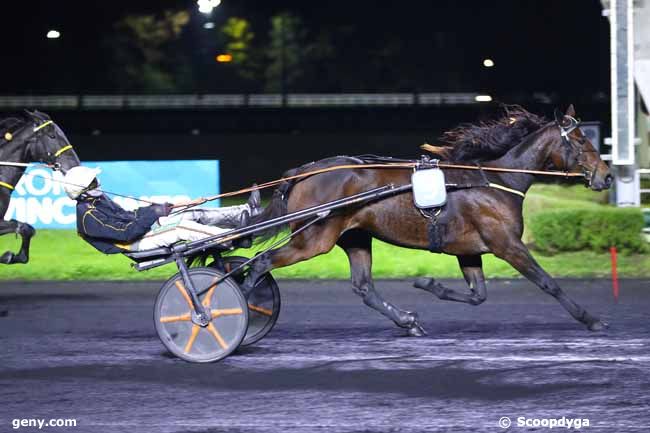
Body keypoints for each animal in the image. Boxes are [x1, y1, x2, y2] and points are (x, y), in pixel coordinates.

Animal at [0, 110, 81, 264]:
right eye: (52, 135)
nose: (75, 165)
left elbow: (28, 229)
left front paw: (11, 256)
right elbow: (25, 228)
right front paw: (8, 256)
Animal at [240, 104, 612, 334]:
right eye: (581, 140)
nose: (607, 177)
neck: (496, 181)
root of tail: (303, 172)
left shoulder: (469, 250)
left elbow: (478, 295)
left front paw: (428, 284)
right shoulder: (507, 244)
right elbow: (548, 282)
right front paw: (592, 319)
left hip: (354, 236)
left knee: (364, 287)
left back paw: (408, 321)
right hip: (312, 240)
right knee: (260, 262)